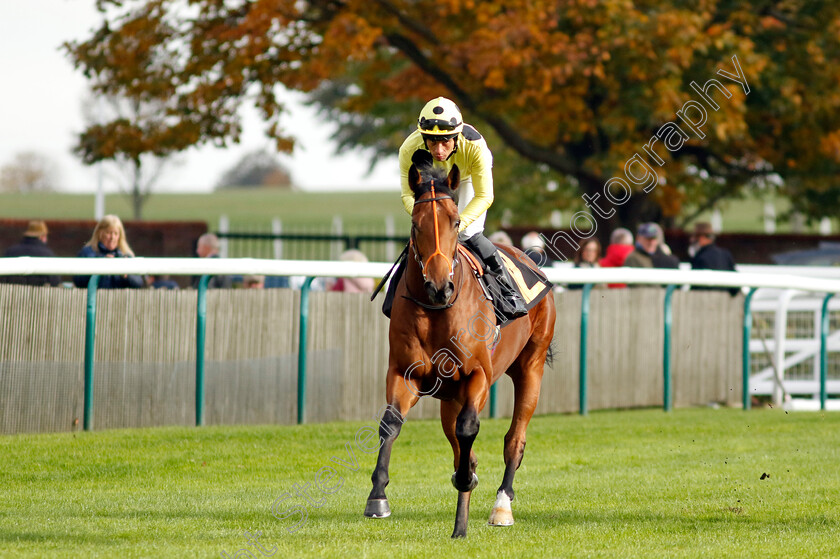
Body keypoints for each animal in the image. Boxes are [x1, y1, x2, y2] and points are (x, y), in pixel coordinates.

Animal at [362, 154, 556, 540]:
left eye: (454, 222)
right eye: (415, 224)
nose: (441, 287)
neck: (437, 310)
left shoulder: (477, 375)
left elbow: (469, 428)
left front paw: (467, 487)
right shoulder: (405, 373)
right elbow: (390, 423)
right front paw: (377, 497)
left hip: (531, 365)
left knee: (514, 439)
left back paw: (501, 506)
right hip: (448, 394)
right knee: (455, 439)